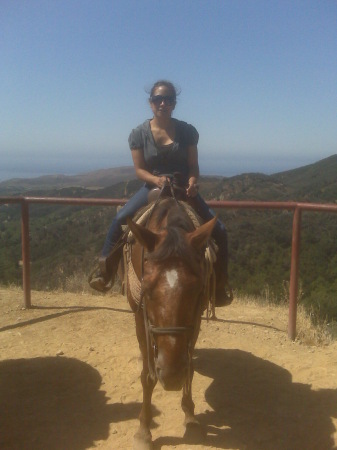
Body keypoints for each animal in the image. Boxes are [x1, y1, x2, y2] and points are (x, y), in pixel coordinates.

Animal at [124, 199, 215, 448]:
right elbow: (147, 376)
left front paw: (191, 418)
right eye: (146, 289)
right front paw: (143, 431)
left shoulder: (195, 321)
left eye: (196, 289)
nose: (172, 376)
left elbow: (190, 369)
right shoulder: (140, 319)